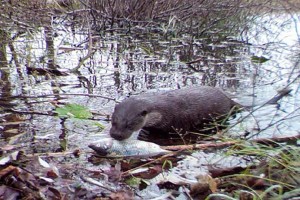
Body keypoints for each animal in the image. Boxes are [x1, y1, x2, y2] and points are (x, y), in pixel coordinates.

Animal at [109, 86, 240, 142]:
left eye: (129, 125)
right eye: (114, 121)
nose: (116, 135)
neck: (163, 111)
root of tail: (228, 99)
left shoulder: (179, 123)